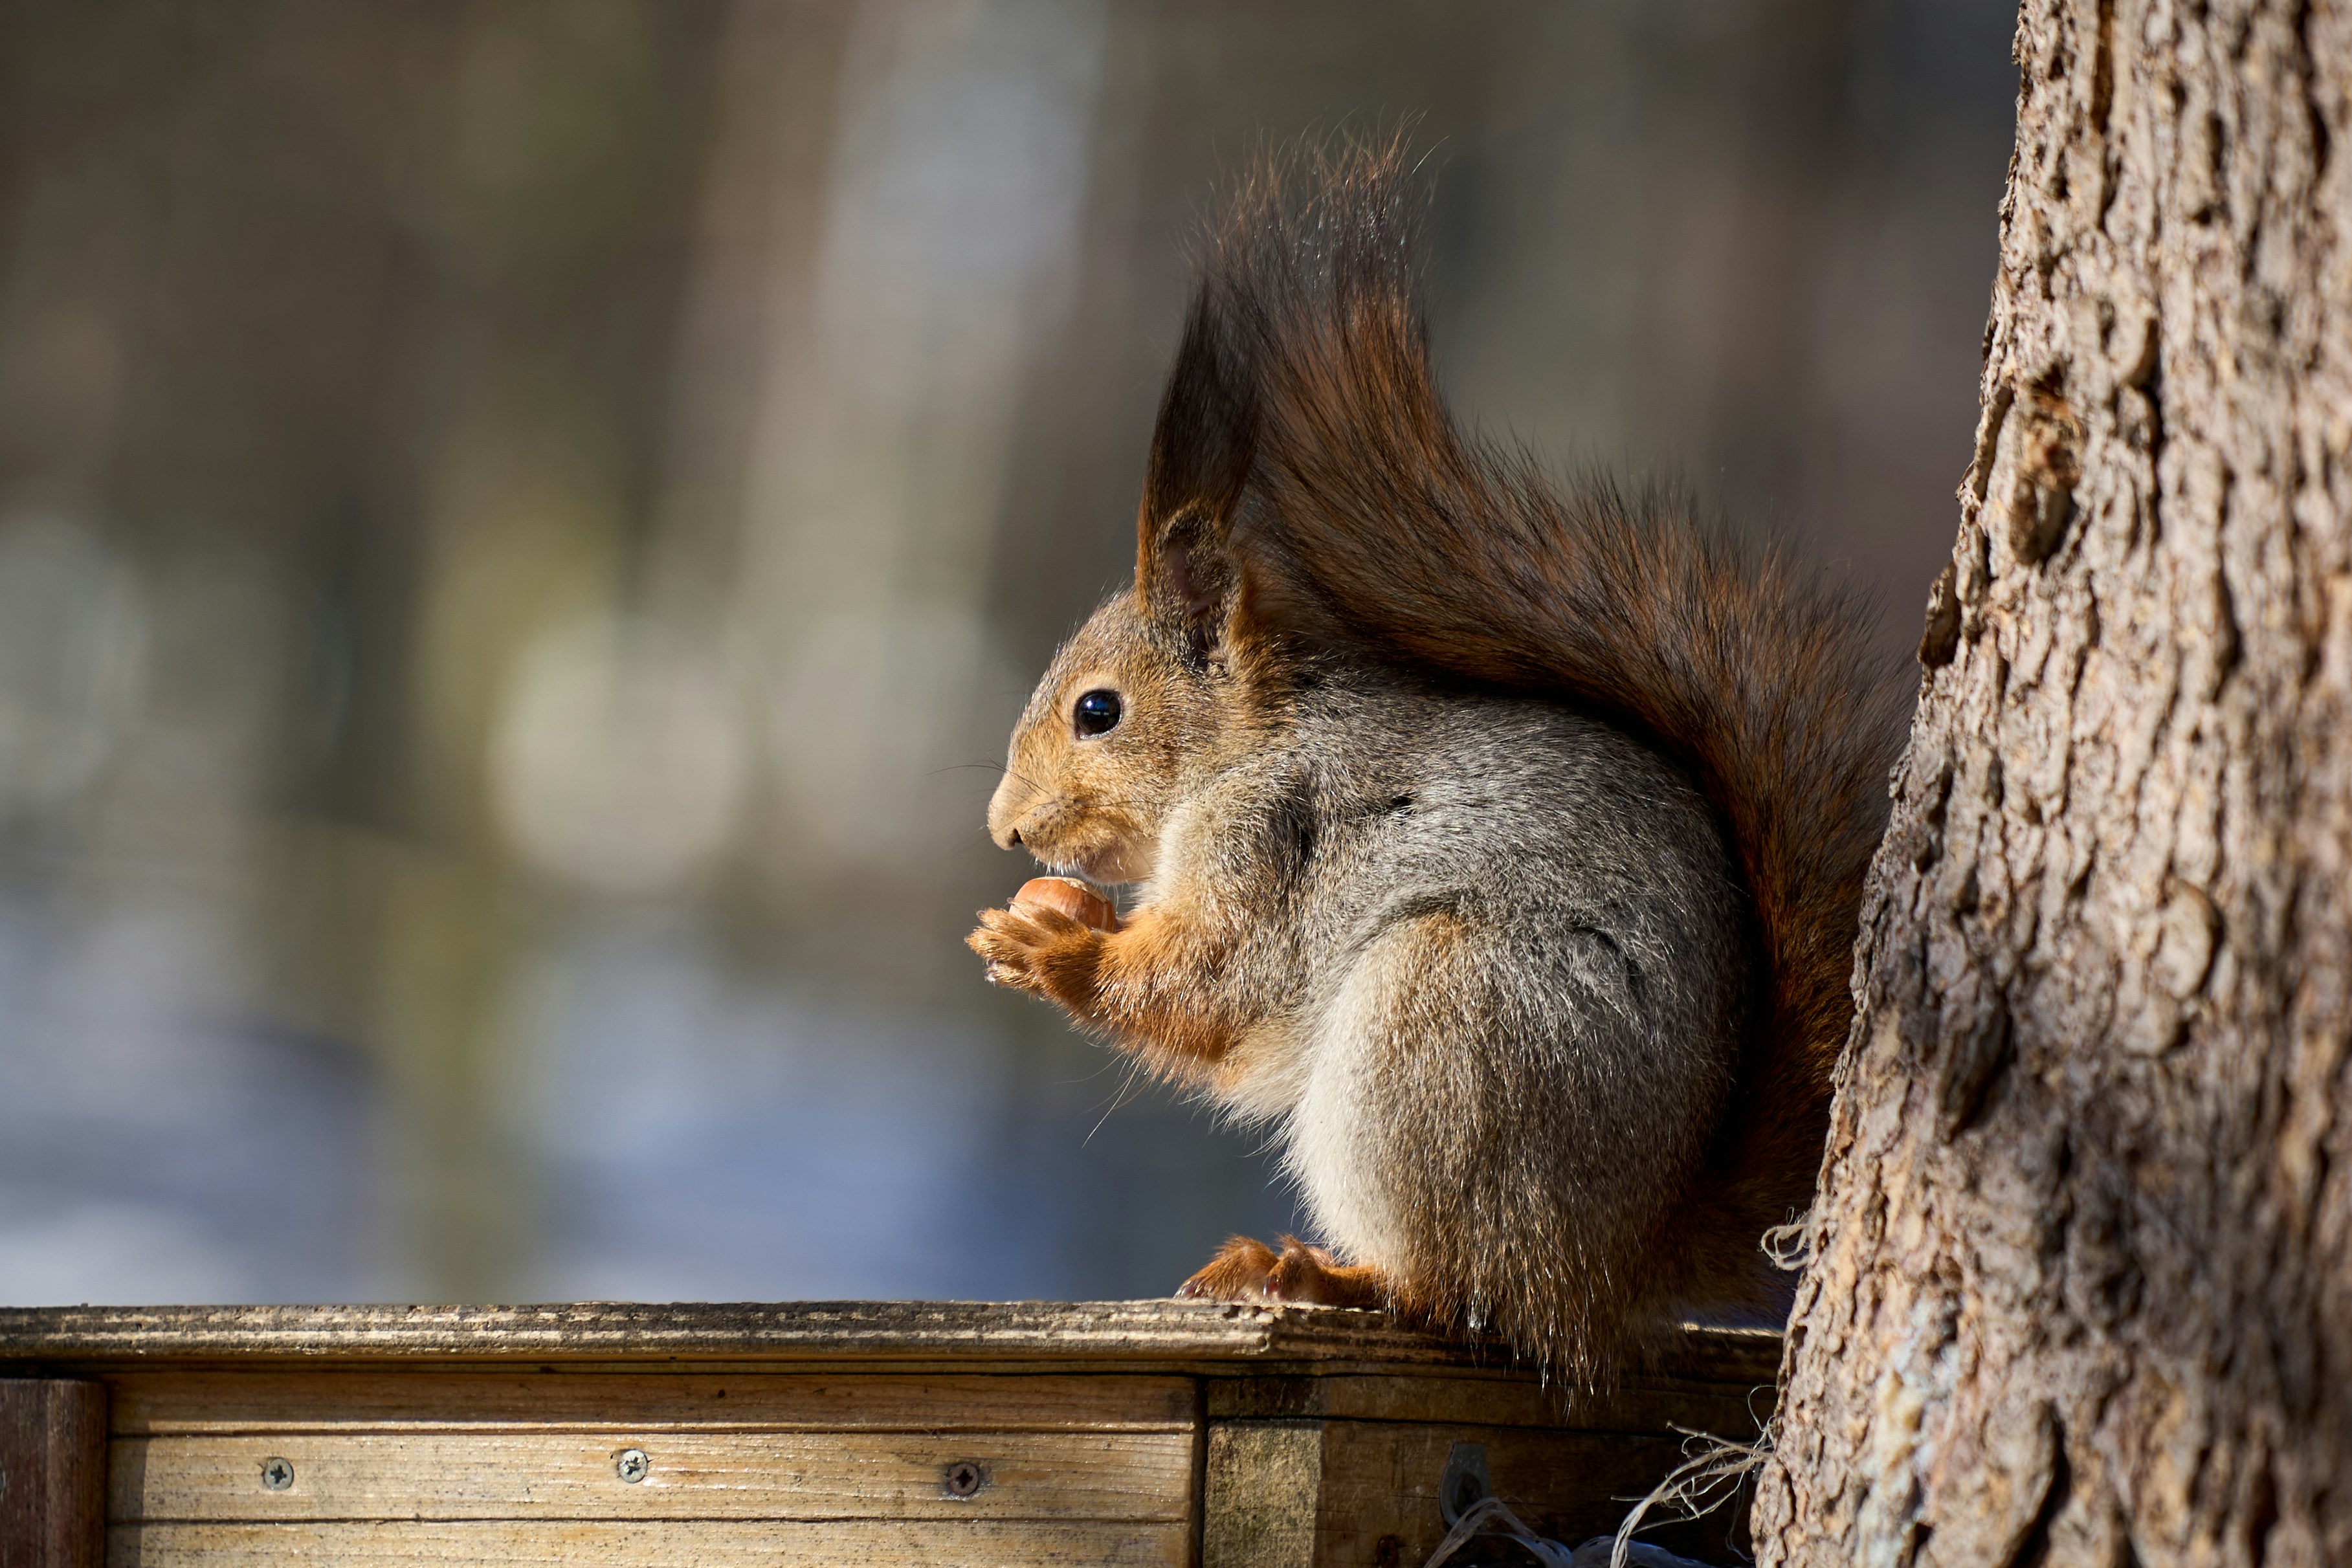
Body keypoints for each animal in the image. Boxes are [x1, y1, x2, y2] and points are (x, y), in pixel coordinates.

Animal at [968, 139, 1906, 1385]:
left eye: (1096, 710)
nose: (1005, 829)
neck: (1246, 746)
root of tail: (1618, 1265)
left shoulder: (1271, 834)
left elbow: (1211, 983)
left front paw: (1049, 945)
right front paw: (1043, 916)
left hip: (1446, 1026)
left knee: (1457, 1295)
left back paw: (1315, 1273)